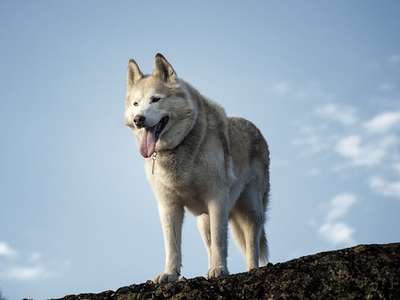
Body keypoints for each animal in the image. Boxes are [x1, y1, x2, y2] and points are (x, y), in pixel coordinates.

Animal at [123, 52, 270, 282]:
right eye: (136, 104)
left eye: (155, 99)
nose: (139, 119)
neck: (178, 148)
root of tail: (255, 128)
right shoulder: (168, 206)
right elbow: (172, 246)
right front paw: (170, 274)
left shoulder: (216, 198)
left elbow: (220, 241)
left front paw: (219, 270)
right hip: (203, 221)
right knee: (211, 244)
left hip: (251, 209)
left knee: (251, 242)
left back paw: (252, 269)